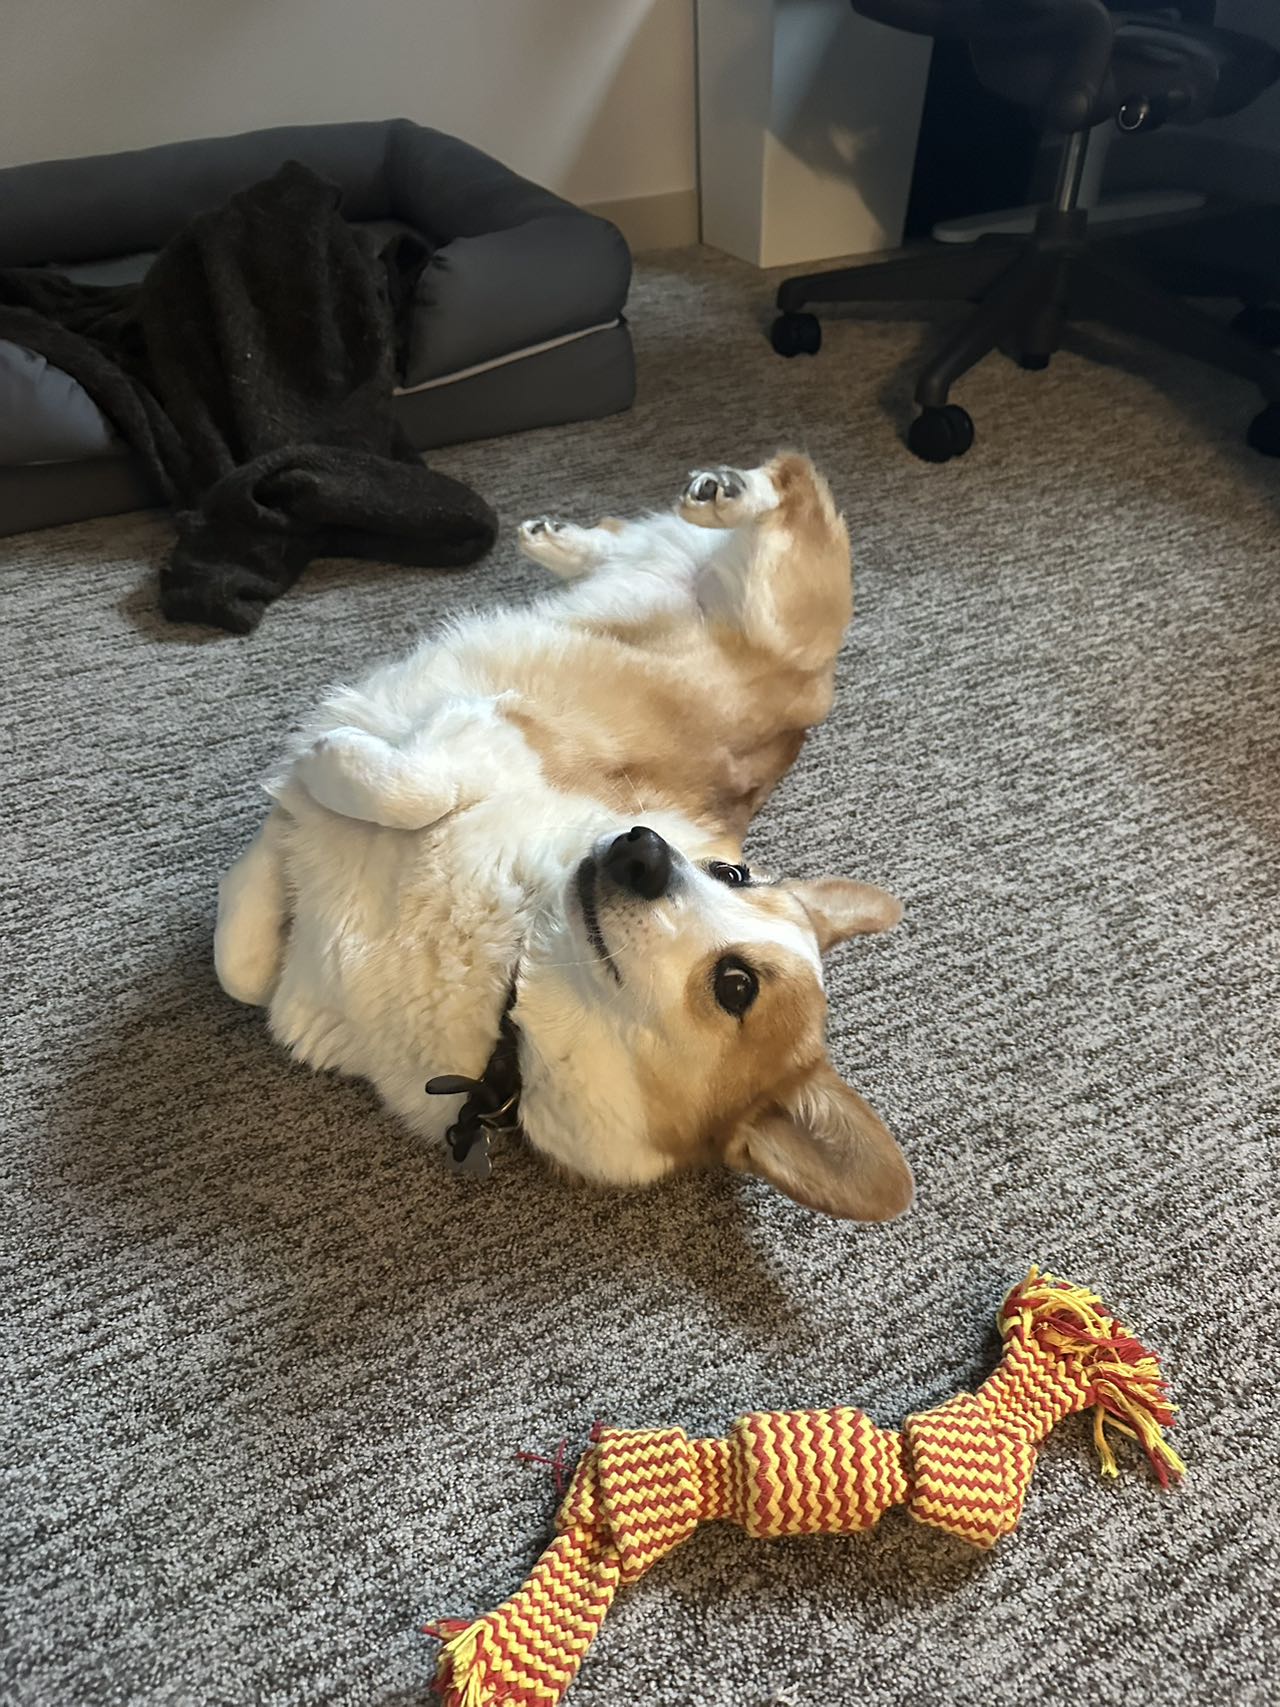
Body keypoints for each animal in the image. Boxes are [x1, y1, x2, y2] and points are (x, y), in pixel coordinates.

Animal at [218, 460, 914, 1222]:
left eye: (736, 986)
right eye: (732, 873)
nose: (640, 848)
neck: (517, 951)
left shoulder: (490, 736)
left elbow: (389, 798)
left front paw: (319, 758)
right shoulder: (498, 732)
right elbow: (243, 956)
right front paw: (297, 791)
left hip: (778, 607)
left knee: (791, 492)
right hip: (761, 596)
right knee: (772, 490)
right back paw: (670, 508)